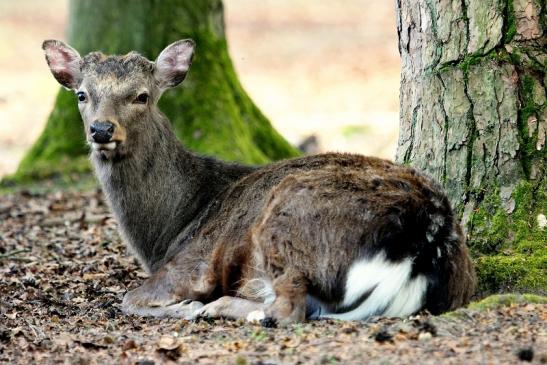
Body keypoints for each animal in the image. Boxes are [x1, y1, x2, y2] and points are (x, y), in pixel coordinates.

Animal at [41, 39, 476, 324]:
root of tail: (426, 235)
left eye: (142, 96)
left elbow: (128, 297)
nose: (101, 130)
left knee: (289, 309)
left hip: (291, 215)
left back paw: (222, 309)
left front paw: (187, 307)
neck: (167, 232)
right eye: (82, 94)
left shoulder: (193, 264)